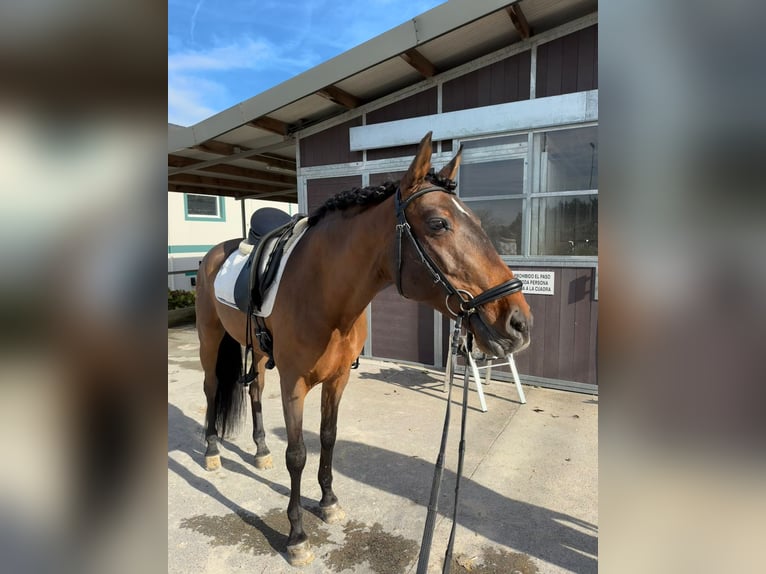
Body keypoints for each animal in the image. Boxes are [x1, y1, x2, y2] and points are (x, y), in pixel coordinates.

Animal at [195, 133, 532, 568]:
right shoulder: (293, 384)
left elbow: (328, 437)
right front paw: (297, 536)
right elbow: (297, 454)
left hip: (259, 352)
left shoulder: (337, 379)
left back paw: (260, 450)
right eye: (439, 224)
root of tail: (215, 252)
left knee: (253, 389)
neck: (322, 292)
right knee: (211, 389)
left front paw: (328, 502)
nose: (519, 322)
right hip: (209, 339)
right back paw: (212, 451)